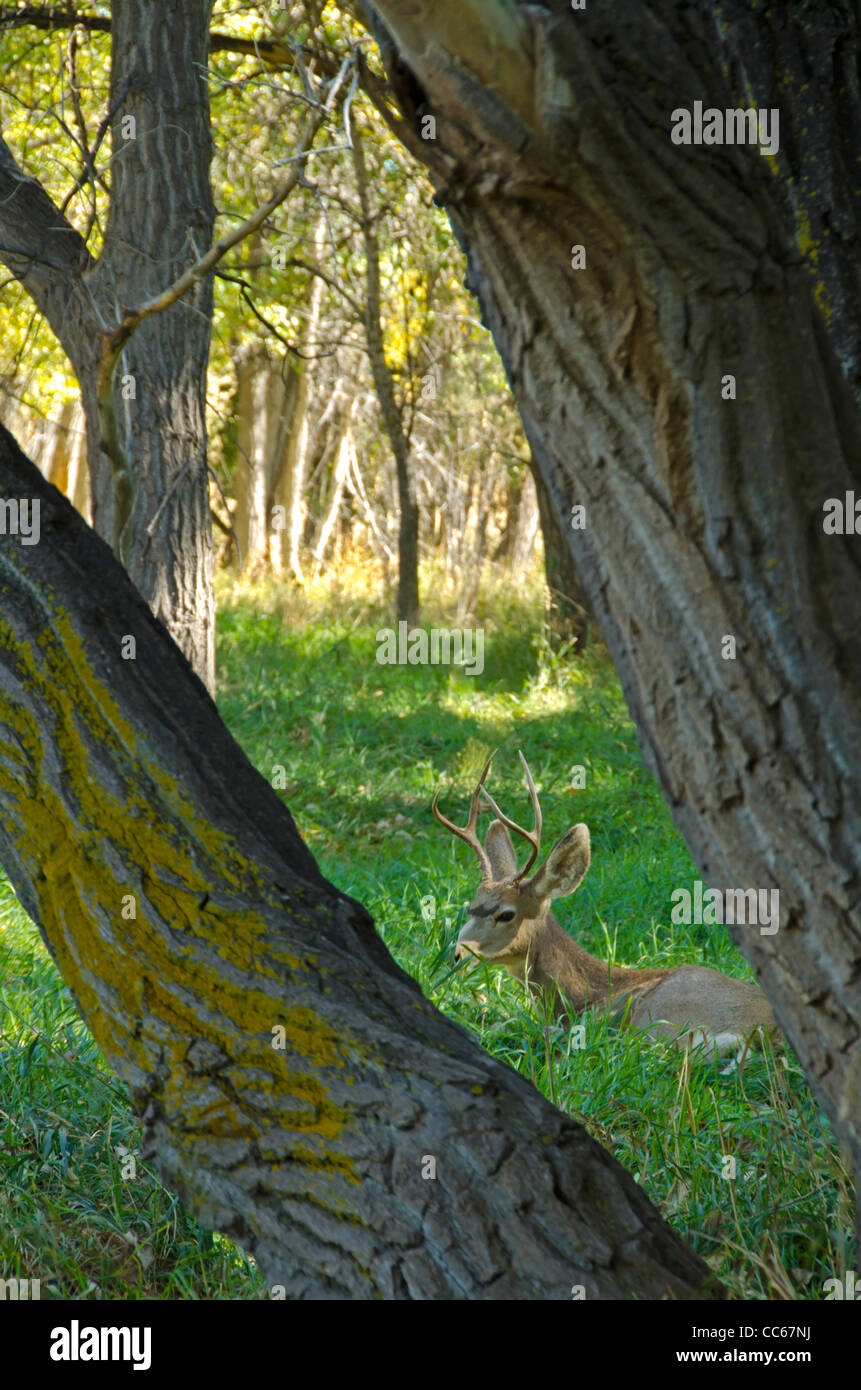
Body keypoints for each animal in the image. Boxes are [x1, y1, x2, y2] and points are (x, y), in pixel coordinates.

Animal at [432, 752, 781, 1058]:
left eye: (506, 914)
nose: (456, 954)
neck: (583, 997)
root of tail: (765, 1032)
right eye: (469, 906)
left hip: (660, 1021)